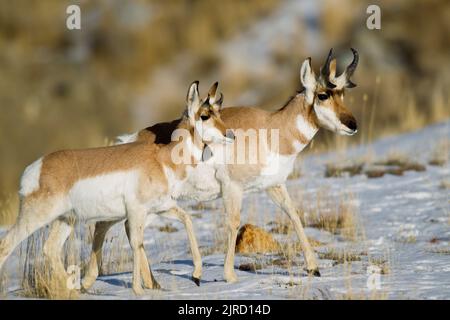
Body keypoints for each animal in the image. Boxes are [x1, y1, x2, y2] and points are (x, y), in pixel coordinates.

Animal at [0, 80, 232, 296]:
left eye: (218, 112)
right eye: (205, 115)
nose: (230, 134)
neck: (161, 159)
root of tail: (36, 168)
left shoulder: (162, 207)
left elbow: (187, 220)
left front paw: (197, 276)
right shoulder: (136, 212)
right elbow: (137, 243)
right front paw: (138, 290)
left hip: (65, 220)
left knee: (50, 249)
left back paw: (73, 292)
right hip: (36, 217)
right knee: (6, 246)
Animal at [52, 49, 360, 284]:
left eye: (343, 94)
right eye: (323, 95)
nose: (352, 124)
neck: (271, 128)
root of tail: (133, 138)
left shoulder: (274, 186)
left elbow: (294, 215)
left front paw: (314, 267)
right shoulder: (232, 189)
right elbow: (233, 223)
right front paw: (229, 275)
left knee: (108, 226)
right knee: (114, 227)